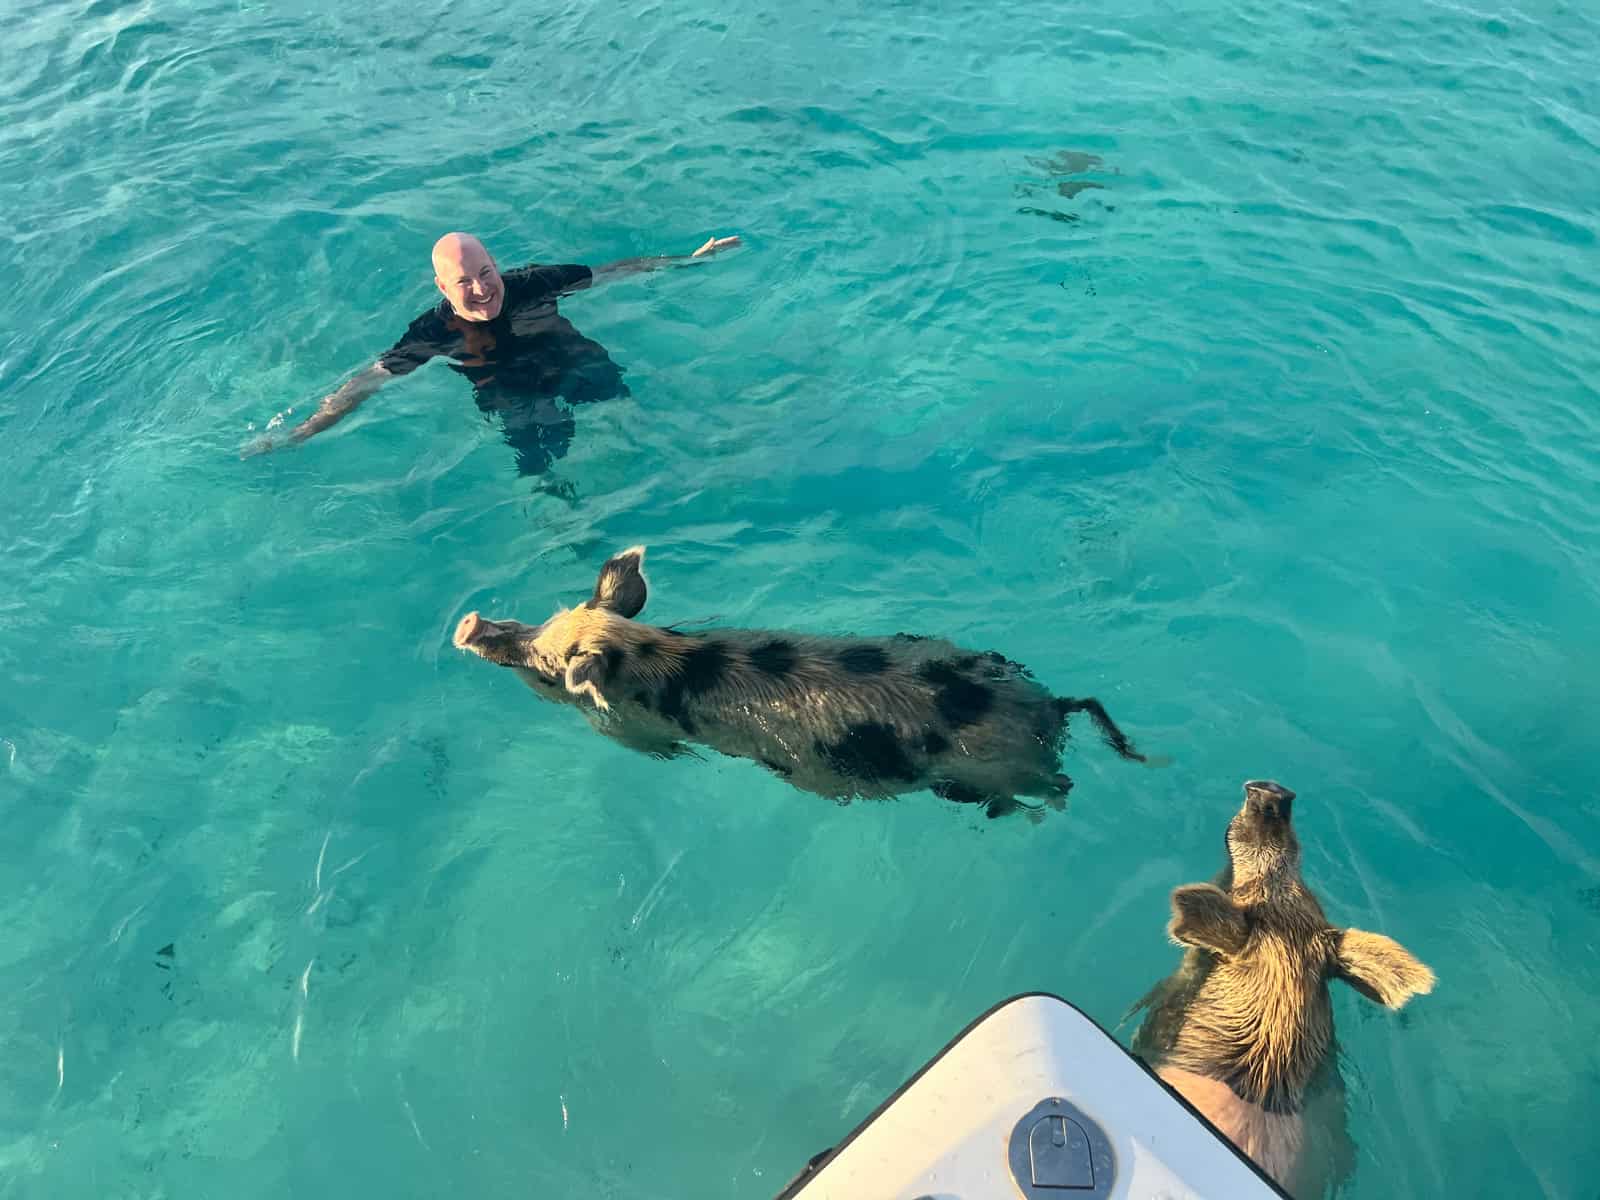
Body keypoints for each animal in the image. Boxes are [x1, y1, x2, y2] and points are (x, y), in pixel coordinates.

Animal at [451, 547, 1152, 819]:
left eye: (548, 666)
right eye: (546, 619)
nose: (469, 623)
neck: (655, 658)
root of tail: (1053, 708)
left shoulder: (635, 727)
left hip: (994, 771)